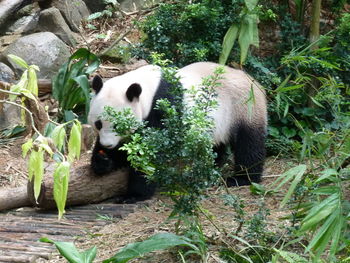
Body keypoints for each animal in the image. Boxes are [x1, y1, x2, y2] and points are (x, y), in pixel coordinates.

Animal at [89, 62, 266, 202]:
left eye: (118, 126)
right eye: (98, 124)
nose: (107, 145)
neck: (148, 90)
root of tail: (256, 84)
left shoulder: (163, 109)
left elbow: (150, 153)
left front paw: (134, 195)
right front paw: (103, 160)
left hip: (244, 107)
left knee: (249, 145)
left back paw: (241, 179)